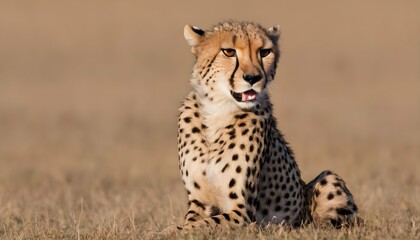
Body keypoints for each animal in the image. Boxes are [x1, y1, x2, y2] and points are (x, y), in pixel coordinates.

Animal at [177, 20, 358, 229]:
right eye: (229, 52)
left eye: (264, 52)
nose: (252, 78)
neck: (218, 111)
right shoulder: (199, 202)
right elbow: (188, 224)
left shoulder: (243, 212)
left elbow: (196, 225)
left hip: (328, 181)